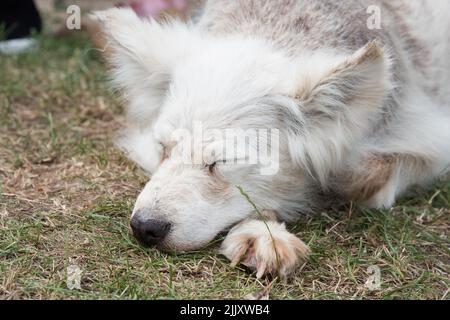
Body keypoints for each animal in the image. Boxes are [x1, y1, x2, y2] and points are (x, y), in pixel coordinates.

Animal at [92, 0, 450, 278]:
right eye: (163, 148)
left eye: (222, 162)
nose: (144, 228)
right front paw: (263, 232)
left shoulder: (429, 141)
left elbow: (361, 177)